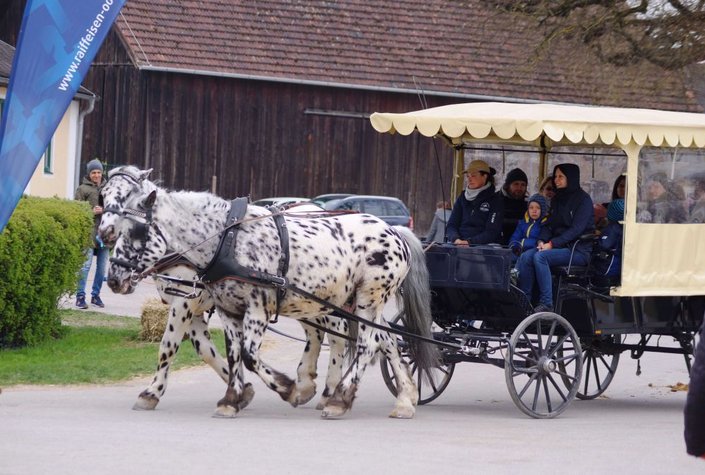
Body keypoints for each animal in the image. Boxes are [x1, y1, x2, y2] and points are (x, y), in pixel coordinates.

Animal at [98, 165, 434, 418]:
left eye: (137, 229)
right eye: (103, 195)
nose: (113, 277)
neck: (226, 239)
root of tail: (394, 231)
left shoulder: (245, 308)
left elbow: (239, 354)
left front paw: (288, 389)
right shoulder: (224, 309)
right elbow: (227, 353)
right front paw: (233, 398)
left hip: (365, 298)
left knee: (365, 344)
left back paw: (338, 398)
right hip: (346, 302)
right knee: (383, 340)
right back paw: (403, 398)